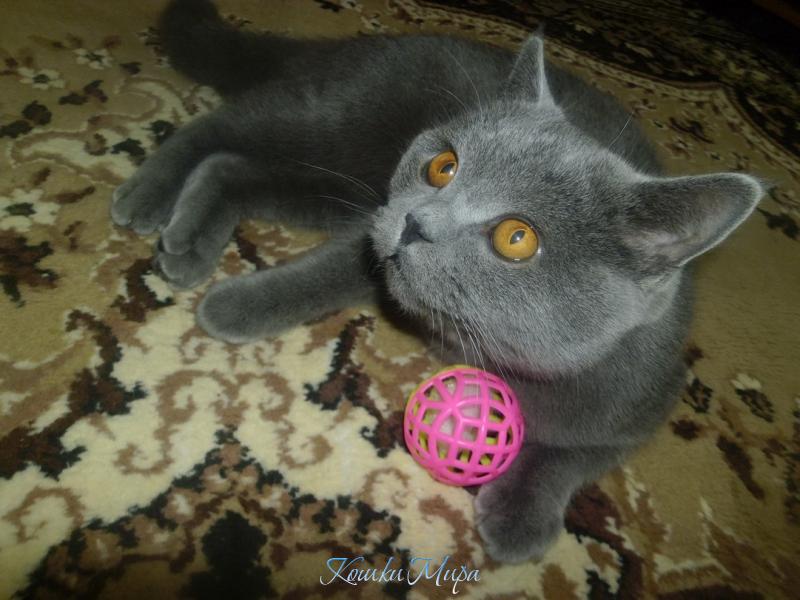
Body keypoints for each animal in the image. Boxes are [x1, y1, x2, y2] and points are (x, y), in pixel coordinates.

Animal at [111, 0, 763, 562]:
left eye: (517, 237)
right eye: (443, 167)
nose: (415, 222)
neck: (487, 350)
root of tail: (380, 41)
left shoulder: (649, 396)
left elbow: (576, 455)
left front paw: (523, 519)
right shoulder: (372, 227)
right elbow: (328, 271)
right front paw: (237, 305)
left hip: (335, 180)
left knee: (235, 166)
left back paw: (190, 234)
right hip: (340, 124)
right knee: (222, 128)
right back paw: (150, 198)